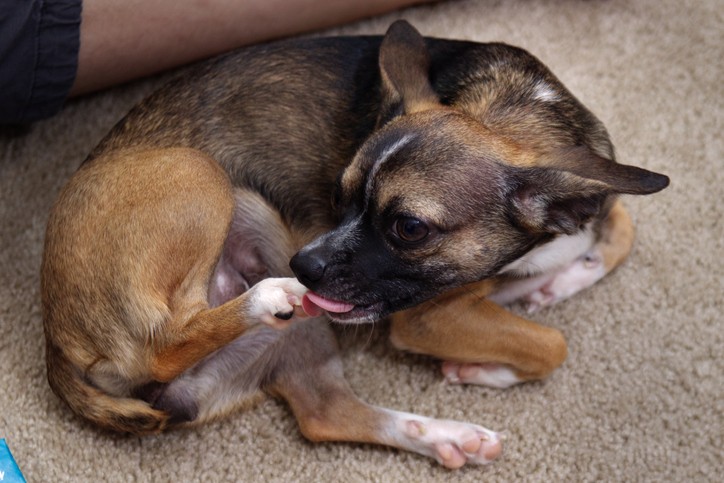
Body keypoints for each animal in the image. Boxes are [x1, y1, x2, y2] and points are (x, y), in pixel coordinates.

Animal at [42, 19, 672, 468]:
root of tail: (57, 341)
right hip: (201, 176)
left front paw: (552, 283)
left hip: (300, 330)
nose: (305, 262)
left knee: (325, 413)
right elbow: (549, 345)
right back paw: (265, 297)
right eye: (340, 194)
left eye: (409, 228)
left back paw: (446, 437)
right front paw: (489, 366)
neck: (510, 113)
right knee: (166, 340)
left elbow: (618, 231)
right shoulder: (424, 319)